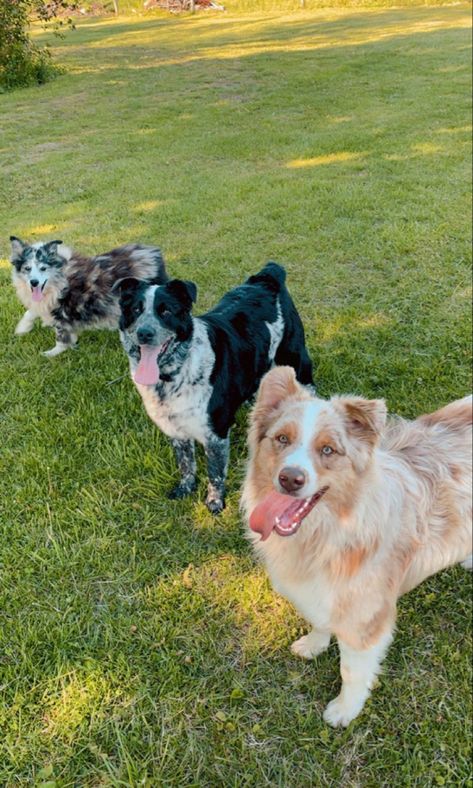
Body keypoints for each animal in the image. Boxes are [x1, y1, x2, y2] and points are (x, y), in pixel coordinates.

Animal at [9, 234, 169, 358]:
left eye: (43, 268)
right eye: (27, 268)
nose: (34, 282)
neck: (59, 276)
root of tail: (154, 254)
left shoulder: (62, 310)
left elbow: (61, 335)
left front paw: (52, 353)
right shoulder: (47, 303)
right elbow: (31, 311)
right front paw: (22, 328)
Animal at [114, 262, 314, 516]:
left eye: (166, 311)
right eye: (136, 310)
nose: (144, 333)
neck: (175, 374)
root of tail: (267, 276)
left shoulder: (216, 434)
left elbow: (215, 473)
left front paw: (215, 503)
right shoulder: (175, 429)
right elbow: (186, 464)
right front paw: (185, 489)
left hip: (297, 359)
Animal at [242, 366, 470, 728]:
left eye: (328, 450)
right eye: (282, 439)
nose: (289, 479)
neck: (330, 532)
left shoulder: (366, 618)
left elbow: (351, 670)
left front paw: (344, 710)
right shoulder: (322, 592)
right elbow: (319, 621)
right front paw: (314, 644)